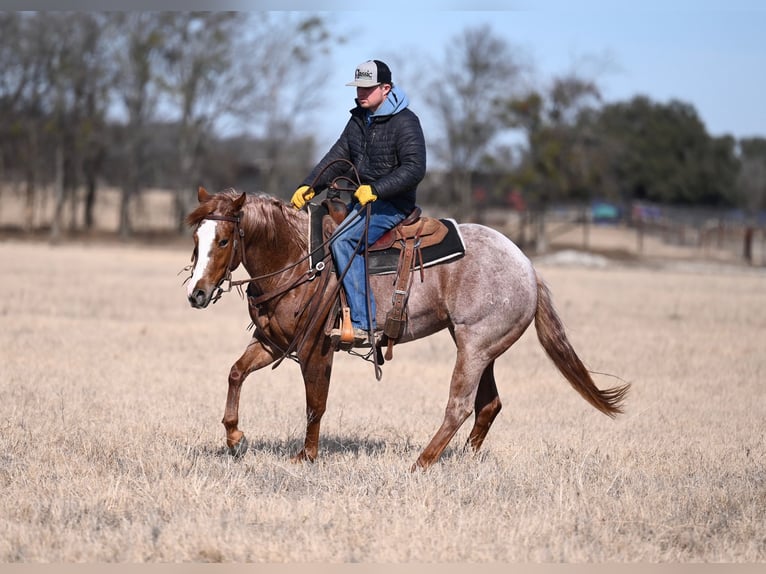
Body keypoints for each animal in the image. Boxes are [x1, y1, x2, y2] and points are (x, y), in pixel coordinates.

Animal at [184, 187, 629, 471]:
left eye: (223, 240)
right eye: (196, 238)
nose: (197, 293)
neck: (300, 260)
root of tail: (528, 267)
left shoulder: (315, 350)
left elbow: (315, 404)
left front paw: (305, 456)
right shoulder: (273, 343)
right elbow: (236, 373)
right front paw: (235, 438)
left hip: (473, 347)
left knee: (459, 405)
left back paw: (422, 462)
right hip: (480, 348)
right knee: (488, 405)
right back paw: (462, 459)